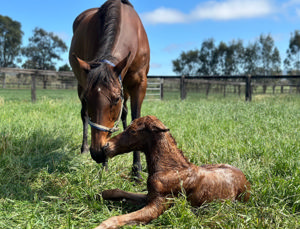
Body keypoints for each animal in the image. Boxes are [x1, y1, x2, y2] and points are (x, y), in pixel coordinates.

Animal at [69, 0, 150, 177]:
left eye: (115, 99)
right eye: (88, 98)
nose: (97, 153)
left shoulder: (138, 84)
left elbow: (134, 117)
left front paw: (136, 169)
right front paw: (105, 167)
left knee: (125, 113)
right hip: (80, 83)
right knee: (84, 115)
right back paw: (84, 148)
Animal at [94, 116, 251, 229]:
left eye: (133, 131)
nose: (106, 146)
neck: (170, 169)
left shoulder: (158, 205)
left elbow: (117, 219)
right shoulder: (150, 196)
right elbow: (116, 191)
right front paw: (97, 195)